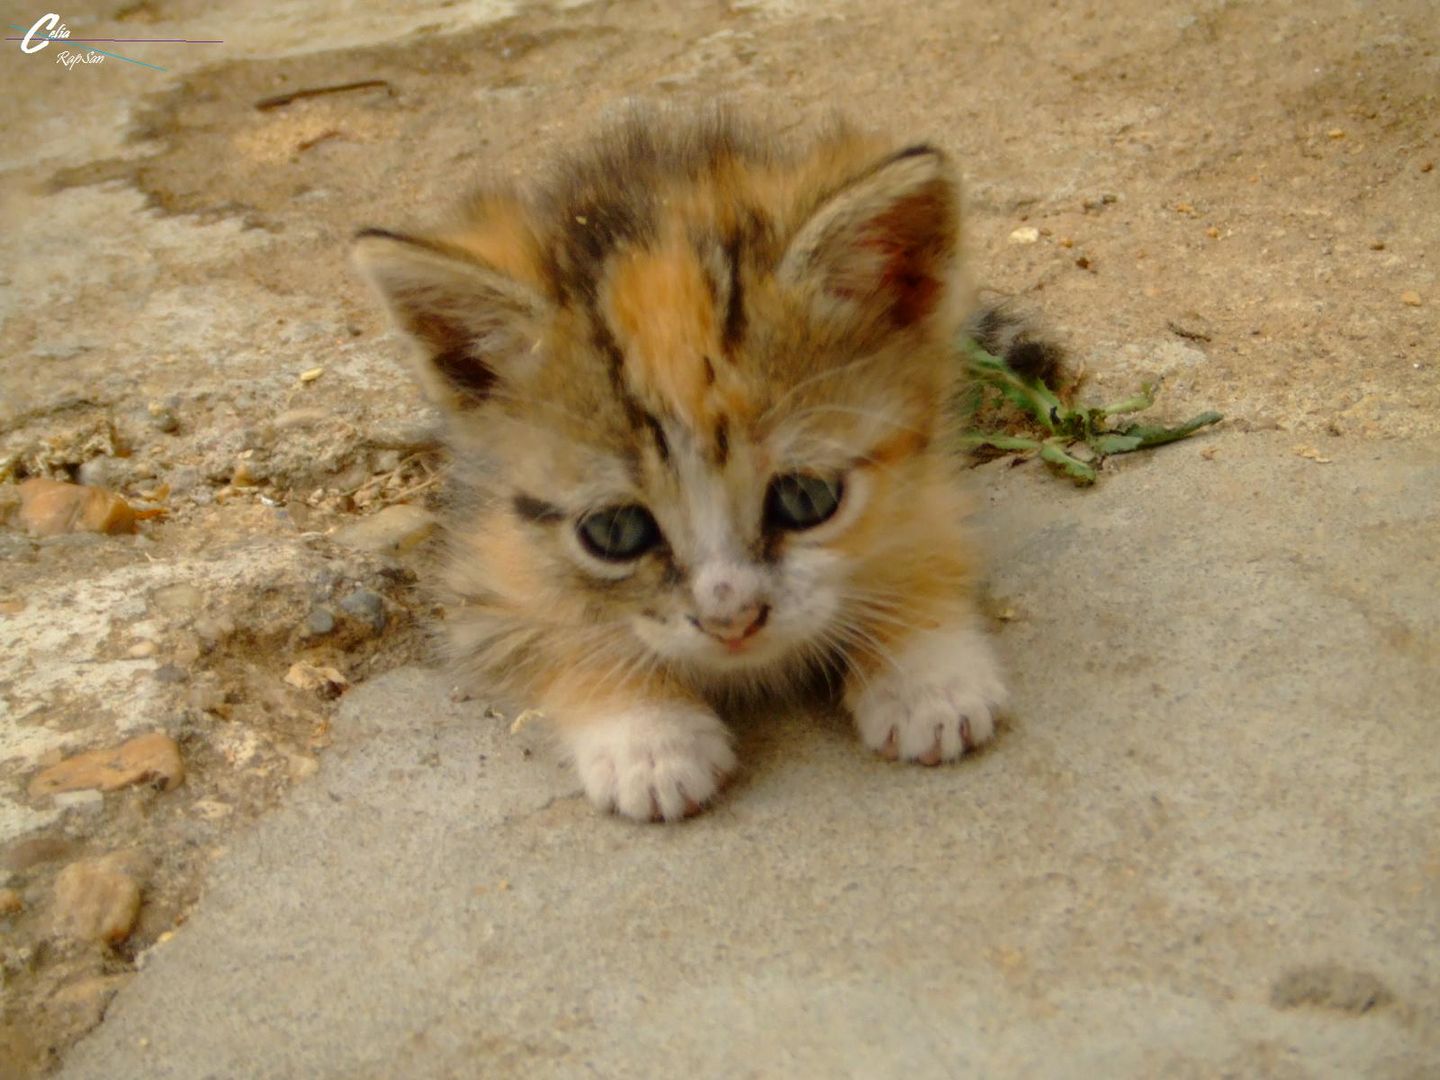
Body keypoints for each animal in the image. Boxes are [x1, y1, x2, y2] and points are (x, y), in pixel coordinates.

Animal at [357, 108, 1013, 817]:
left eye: (807, 499)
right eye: (614, 532)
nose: (732, 622)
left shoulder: (931, 468)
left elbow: (930, 541)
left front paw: (925, 669)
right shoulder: (478, 548)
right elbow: (552, 627)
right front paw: (645, 737)